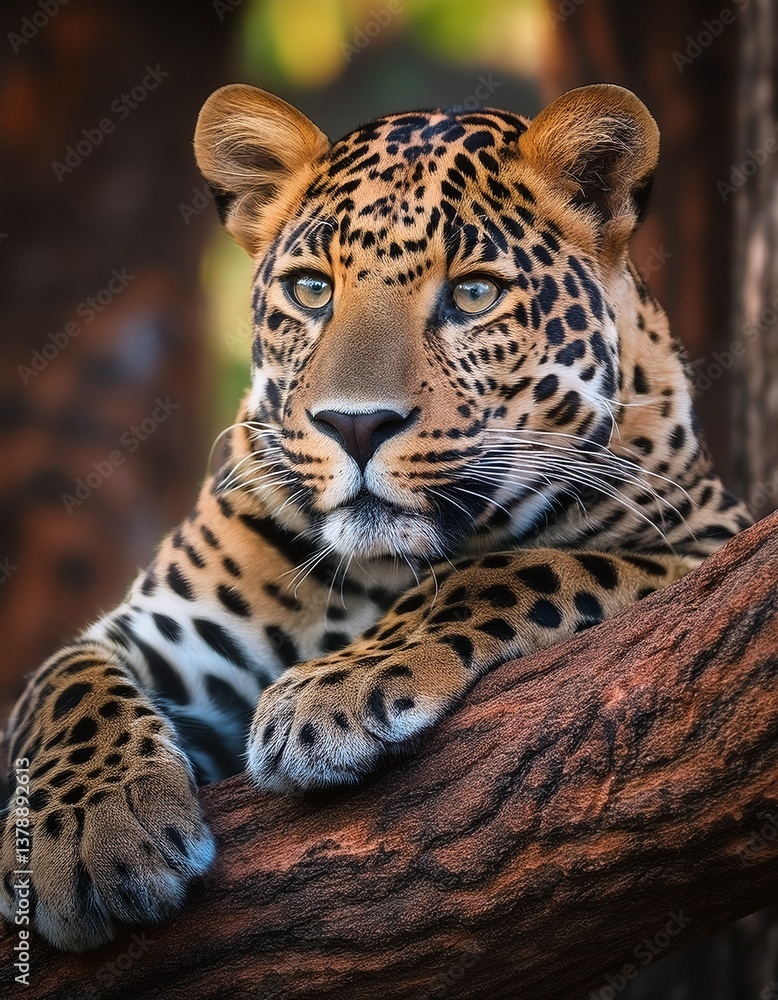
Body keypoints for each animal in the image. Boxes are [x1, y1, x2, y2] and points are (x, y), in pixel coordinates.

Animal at [0, 82, 752, 952]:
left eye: (473, 294)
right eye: (311, 290)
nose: (355, 426)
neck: (384, 568)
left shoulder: (709, 548)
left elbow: (513, 566)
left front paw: (331, 691)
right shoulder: (164, 633)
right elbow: (62, 686)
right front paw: (89, 829)